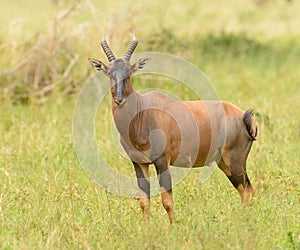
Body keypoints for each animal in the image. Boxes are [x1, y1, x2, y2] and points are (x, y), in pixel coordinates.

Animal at [88, 34, 258, 223]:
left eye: (130, 72)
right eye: (110, 72)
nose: (119, 100)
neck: (143, 110)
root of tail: (243, 116)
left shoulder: (162, 161)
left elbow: (167, 200)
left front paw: (173, 226)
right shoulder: (139, 163)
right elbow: (144, 201)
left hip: (235, 160)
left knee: (247, 190)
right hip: (224, 162)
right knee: (245, 190)